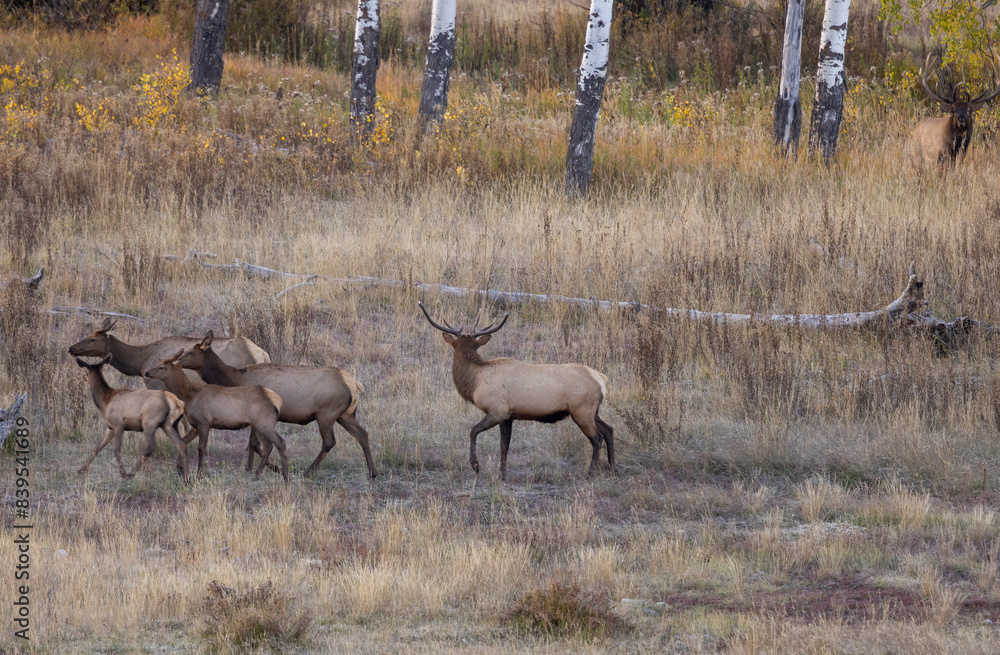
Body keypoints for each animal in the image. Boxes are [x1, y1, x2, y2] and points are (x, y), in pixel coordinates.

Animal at [144, 351, 290, 483]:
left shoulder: (204, 422)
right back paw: (258, 474)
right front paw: (179, 469)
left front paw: (199, 474)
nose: (146, 373)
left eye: (162, 367)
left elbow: (201, 448)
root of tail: (278, 401)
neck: (187, 395)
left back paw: (285, 476)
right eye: (159, 363)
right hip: (258, 424)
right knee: (268, 446)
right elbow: (183, 442)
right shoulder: (195, 426)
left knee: (280, 442)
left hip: (265, 422)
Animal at [176, 331, 378, 479]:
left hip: (326, 414)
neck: (234, 379)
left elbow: (256, 444)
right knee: (363, 434)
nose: (176, 359)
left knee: (329, 441)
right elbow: (254, 444)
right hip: (346, 414)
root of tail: (355, 385)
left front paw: (266, 469)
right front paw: (253, 468)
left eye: (191, 352)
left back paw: (308, 471)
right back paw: (372, 472)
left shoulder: (258, 414)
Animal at [419, 302, 615, 481]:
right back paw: (614, 467)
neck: (476, 382)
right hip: (592, 411)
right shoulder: (508, 416)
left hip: (582, 410)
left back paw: (590, 474)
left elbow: (473, 431)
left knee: (596, 438)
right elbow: (504, 445)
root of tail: (601, 379)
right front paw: (502, 475)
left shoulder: (497, 410)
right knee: (609, 429)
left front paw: (476, 465)